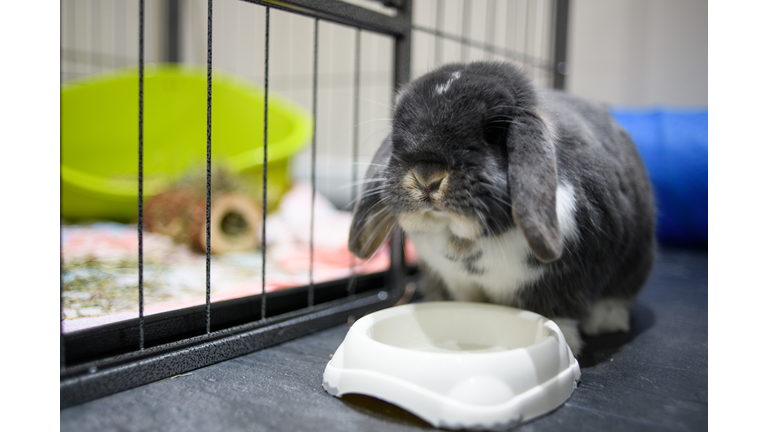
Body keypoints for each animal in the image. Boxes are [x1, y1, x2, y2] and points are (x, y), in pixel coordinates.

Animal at [348, 62, 655, 356]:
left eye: (493, 132)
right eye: (397, 132)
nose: (427, 179)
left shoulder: (563, 282)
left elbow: (558, 313)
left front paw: (565, 341)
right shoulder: (456, 283)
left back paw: (607, 321)